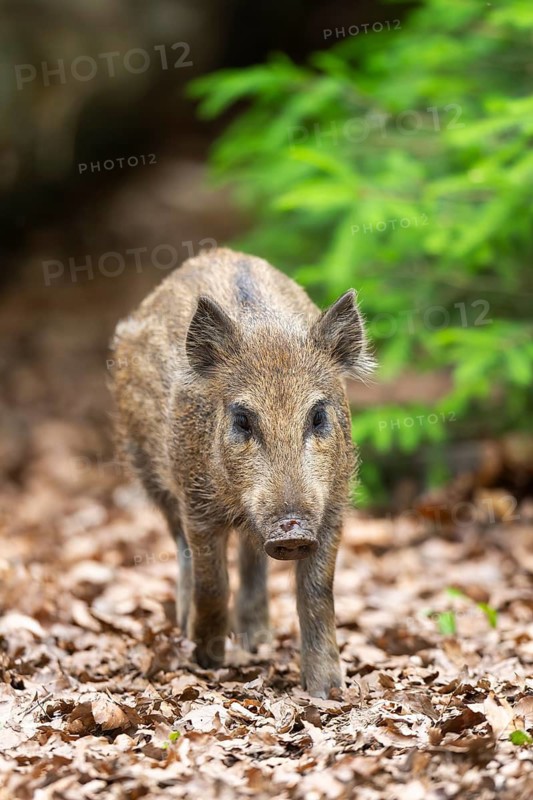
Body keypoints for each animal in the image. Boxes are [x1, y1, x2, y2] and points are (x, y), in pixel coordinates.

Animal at [110, 248, 374, 697]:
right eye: (243, 419)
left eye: (318, 416)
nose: (291, 531)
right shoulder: (195, 503)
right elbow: (212, 581)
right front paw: (207, 659)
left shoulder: (333, 506)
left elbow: (318, 592)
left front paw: (328, 691)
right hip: (148, 470)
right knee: (183, 551)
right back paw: (189, 629)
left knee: (252, 555)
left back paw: (258, 641)